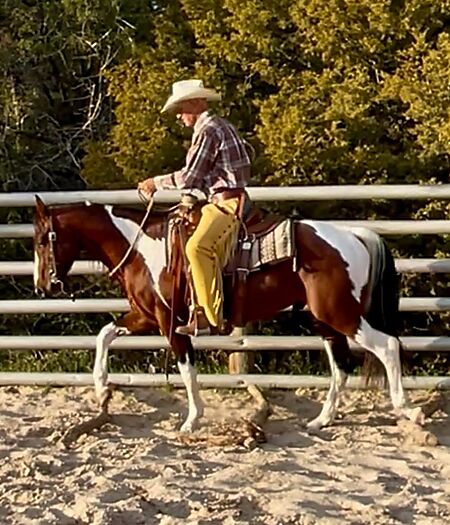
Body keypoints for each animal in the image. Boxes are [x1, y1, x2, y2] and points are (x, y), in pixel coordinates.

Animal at [33, 195, 424, 432]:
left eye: (41, 241)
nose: (42, 286)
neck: (144, 247)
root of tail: (354, 235)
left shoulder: (172, 325)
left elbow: (187, 370)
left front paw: (192, 419)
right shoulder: (146, 316)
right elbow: (105, 334)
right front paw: (101, 388)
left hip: (341, 314)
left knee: (387, 346)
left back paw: (409, 409)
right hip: (324, 319)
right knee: (340, 365)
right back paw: (321, 420)